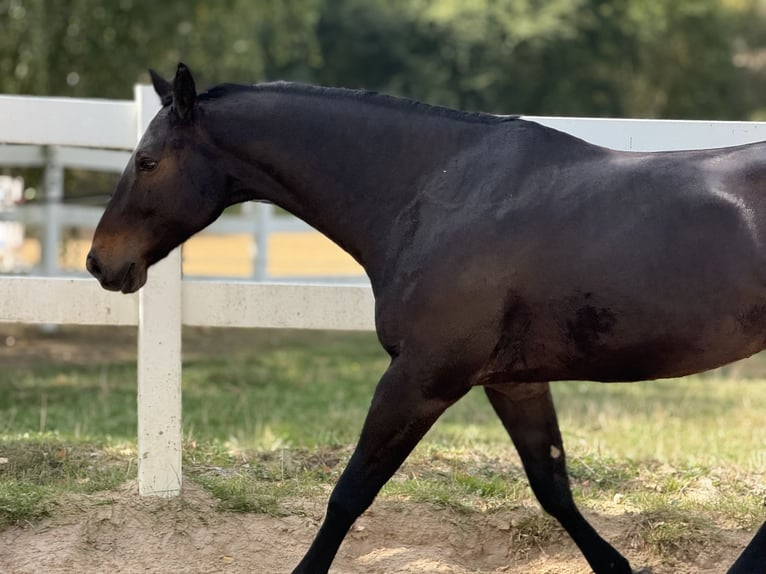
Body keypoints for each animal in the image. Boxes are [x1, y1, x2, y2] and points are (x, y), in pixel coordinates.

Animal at [86, 63, 766, 573]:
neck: (436, 194)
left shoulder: (421, 379)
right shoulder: (514, 383)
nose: (100, 262)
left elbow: (350, 493)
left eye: (148, 161)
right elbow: (552, 488)